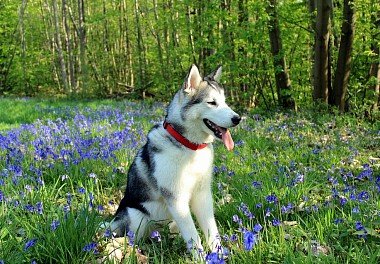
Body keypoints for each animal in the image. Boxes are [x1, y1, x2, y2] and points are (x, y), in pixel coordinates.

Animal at [110, 63, 240, 254]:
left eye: (224, 102)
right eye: (212, 102)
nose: (238, 118)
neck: (190, 147)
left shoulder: (202, 195)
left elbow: (211, 229)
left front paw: (218, 254)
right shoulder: (176, 198)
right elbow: (193, 236)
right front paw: (201, 257)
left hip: (170, 222)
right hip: (136, 218)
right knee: (133, 237)